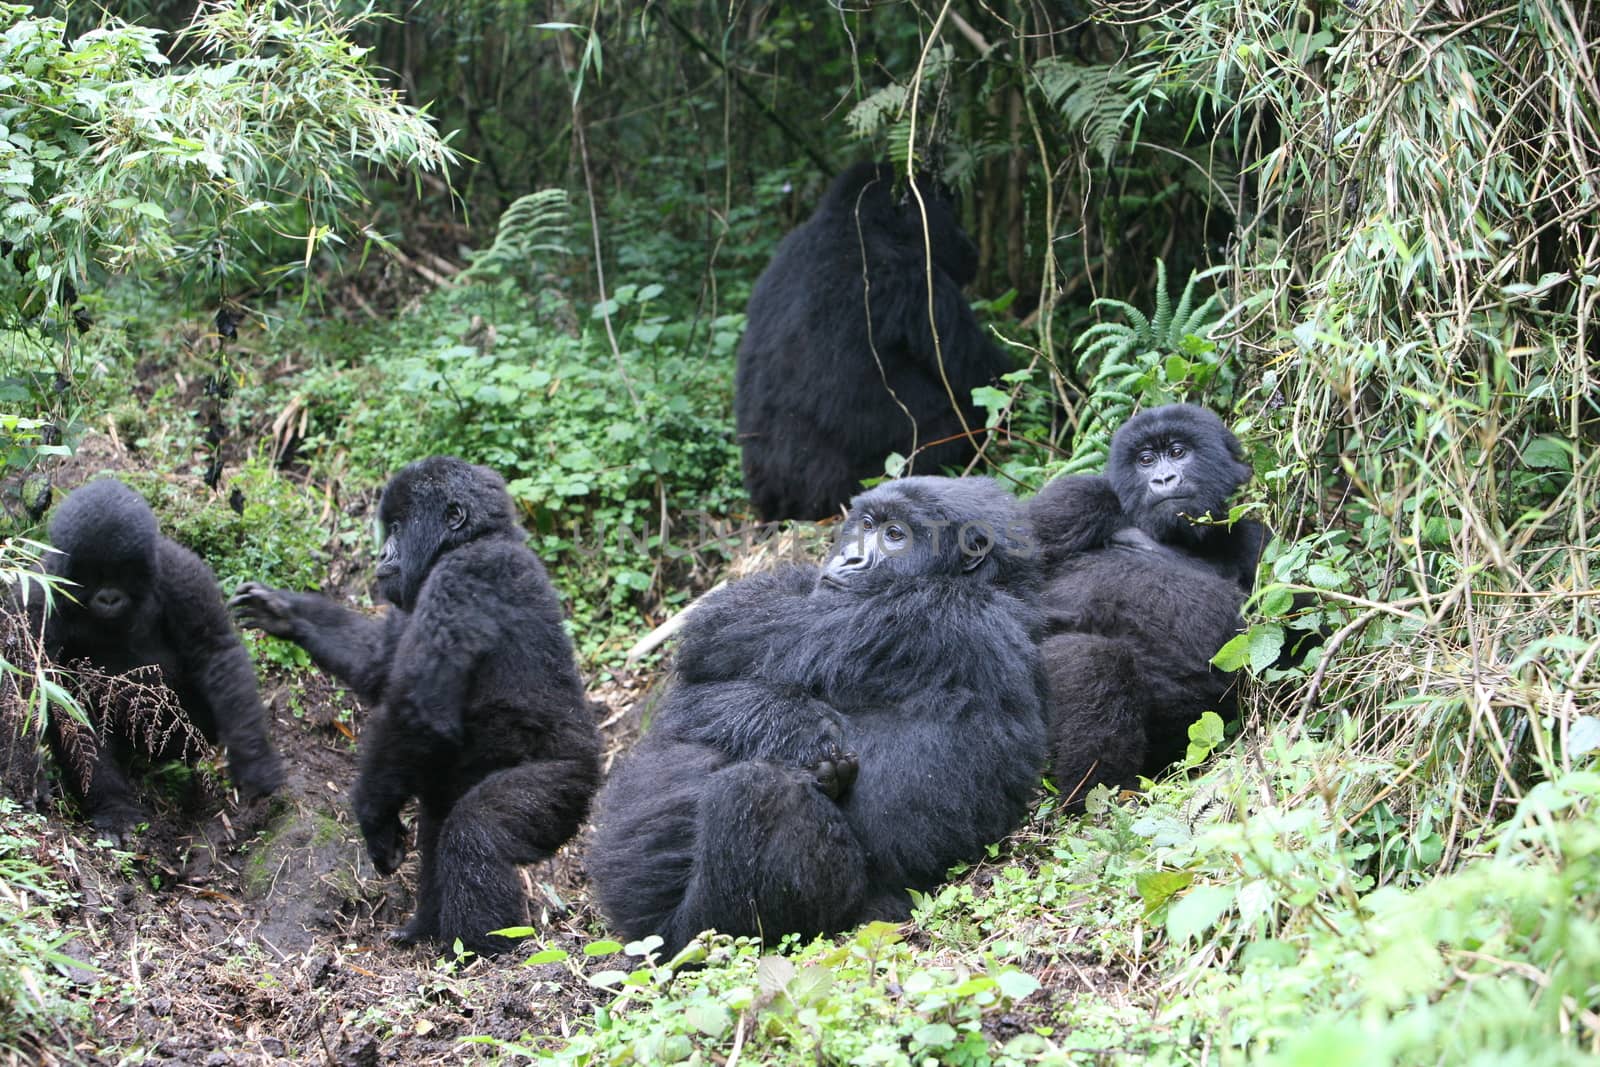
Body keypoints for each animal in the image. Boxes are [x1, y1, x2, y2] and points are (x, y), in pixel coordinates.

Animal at [228, 454, 598, 953]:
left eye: (399, 528)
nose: (383, 556)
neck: (476, 539)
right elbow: (378, 664)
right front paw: (285, 612)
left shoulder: (462, 577)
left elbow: (416, 709)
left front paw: (373, 819)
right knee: (439, 818)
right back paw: (425, 927)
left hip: (567, 785)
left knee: (476, 829)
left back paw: (484, 948)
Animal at [588, 476, 1049, 953]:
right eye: (866, 525)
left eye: (895, 535)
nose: (849, 557)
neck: (994, 582)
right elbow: (705, 677)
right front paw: (795, 726)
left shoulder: (924, 614)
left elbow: (726, 637)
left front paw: (798, 730)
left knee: (757, 792)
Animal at [1030, 404, 1267, 806]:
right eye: (1145, 460)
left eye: (1177, 452)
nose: (1164, 479)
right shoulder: (1075, 498)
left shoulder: (1257, 540)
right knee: (1092, 661)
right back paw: (1099, 797)